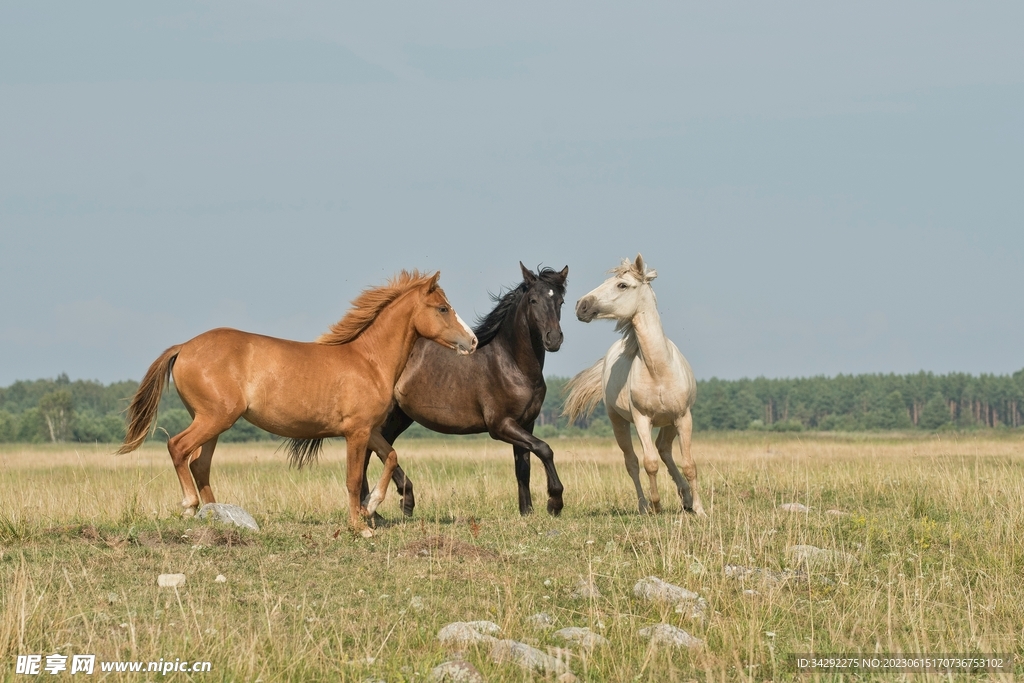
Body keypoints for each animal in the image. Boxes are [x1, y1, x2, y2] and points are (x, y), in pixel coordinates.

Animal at [117, 271, 478, 536]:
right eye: (443, 308)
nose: (472, 341)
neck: (369, 361)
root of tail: (184, 347)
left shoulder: (369, 430)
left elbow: (391, 457)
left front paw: (372, 506)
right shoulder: (356, 433)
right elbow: (352, 479)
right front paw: (360, 526)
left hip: (214, 423)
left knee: (199, 464)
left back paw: (218, 515)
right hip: (213, 418)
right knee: (178, 448)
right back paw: (190, 506)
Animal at [290, 263, 568, 517]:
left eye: (561, 301)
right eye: (533, 300)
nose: (553, 339)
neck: (510, 364)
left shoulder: (525, 423)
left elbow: (523, 467)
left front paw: (527, 512)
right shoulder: (500, 425)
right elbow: (545, 449)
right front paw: (554, 503)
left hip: (398, 417)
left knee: (376, 452)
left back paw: (388, 505)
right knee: (370, 454)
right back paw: (389, 505)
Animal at [564, 255, 704, 516]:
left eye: (622, 285)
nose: (581, 305)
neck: (659, 370)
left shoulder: (683, 418)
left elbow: (689, 464)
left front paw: (700, 509)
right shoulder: (641, 420)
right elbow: (649, 463)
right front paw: (656, 505)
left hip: (670, 422)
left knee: (664, 449)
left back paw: (686, 499)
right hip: (618, 422)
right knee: (632, 462)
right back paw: (644, 506)